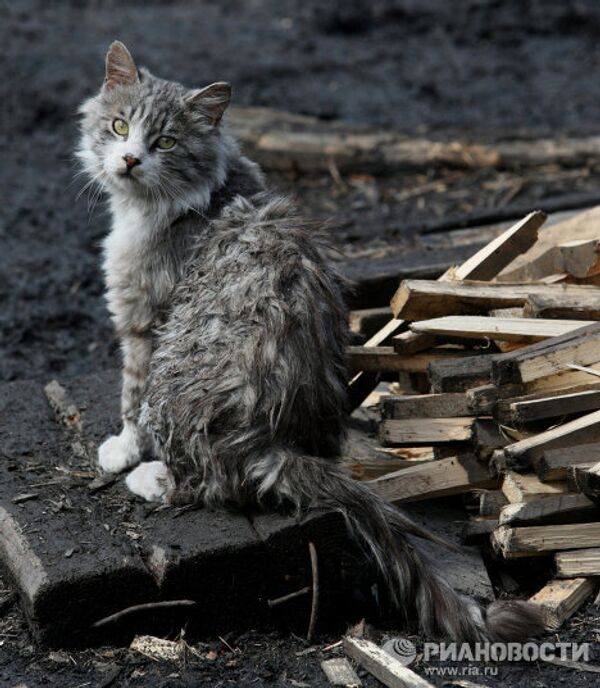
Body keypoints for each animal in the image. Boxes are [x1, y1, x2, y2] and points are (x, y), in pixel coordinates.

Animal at [78, 41, 544, 644]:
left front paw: (122, 449)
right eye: (119, 126)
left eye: (165, 142)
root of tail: (273, 441)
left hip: (178, 376)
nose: (131, 159)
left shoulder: (145, 318)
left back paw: (152, 477)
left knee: (207, 483)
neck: (200, 196)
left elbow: (130, 398)